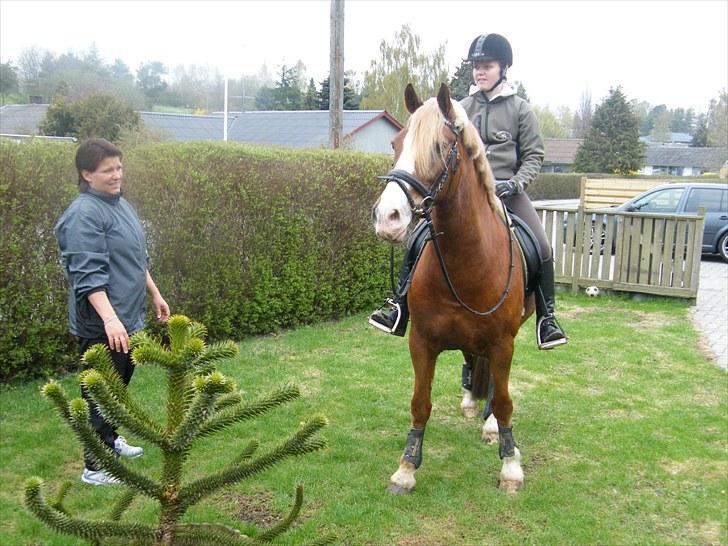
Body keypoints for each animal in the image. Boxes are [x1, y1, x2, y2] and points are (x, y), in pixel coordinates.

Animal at [376, 84, 536, 492]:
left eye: (437, 147)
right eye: (395, 142)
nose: (387, 218)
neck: (467, 260)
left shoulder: (503, 342)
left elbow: (505, 400)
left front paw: (510, 466)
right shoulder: (421, 340)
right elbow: (420, 402)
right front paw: (406, 468)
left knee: (494, 385)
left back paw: (491, 426)